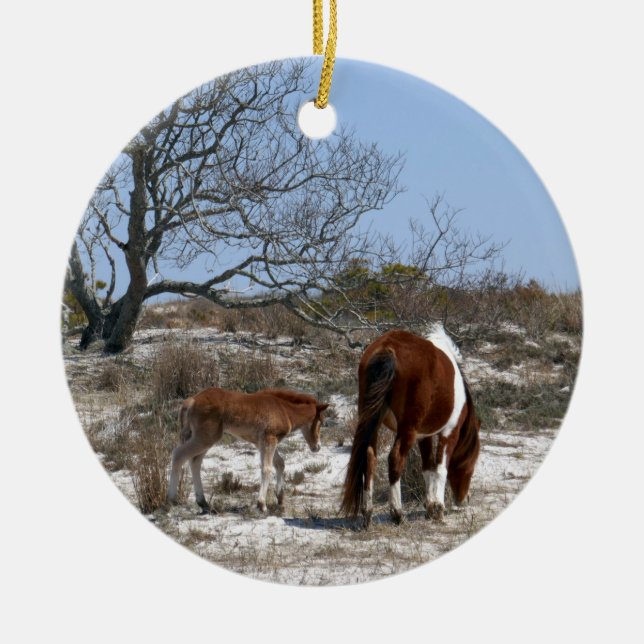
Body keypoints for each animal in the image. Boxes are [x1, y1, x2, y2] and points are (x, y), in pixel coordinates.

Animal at [167, 387, 329, 513]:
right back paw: (171, 500)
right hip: (205, 438)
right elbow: (267, 469)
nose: (317, 447)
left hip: (204, 439)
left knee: (195, 461)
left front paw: (280, 499)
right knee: (179, 455)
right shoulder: (269, 439)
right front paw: (262, 505)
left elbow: (279, 464)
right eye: (320, 421)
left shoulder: (261, 443)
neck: (283, 409)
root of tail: (192, 400)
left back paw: (204, 504)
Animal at [341, 324, 481, 528]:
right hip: (407, 429)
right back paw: (397, 513)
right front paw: (438, 509)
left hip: (371, 420)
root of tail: (387, 348)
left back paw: (367, 513)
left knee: (369, 456)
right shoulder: (449, 433)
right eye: (472, 464)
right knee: (395, 459)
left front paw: (430, 507)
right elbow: (441, 468)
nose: (465, 498)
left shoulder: (424, 436)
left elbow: (427, 467)